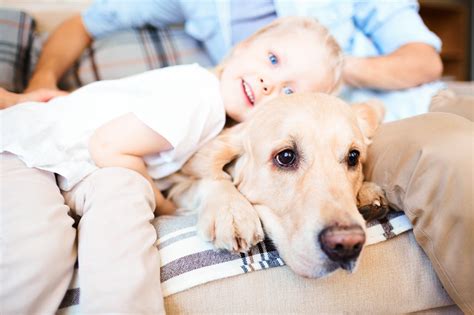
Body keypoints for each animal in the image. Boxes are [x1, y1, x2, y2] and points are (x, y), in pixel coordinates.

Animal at [165, 92, 386, 278]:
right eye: (286, 156)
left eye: (353, 157)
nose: (347, 244)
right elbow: (211, 177)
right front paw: (230, 210)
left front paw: (367, 193)